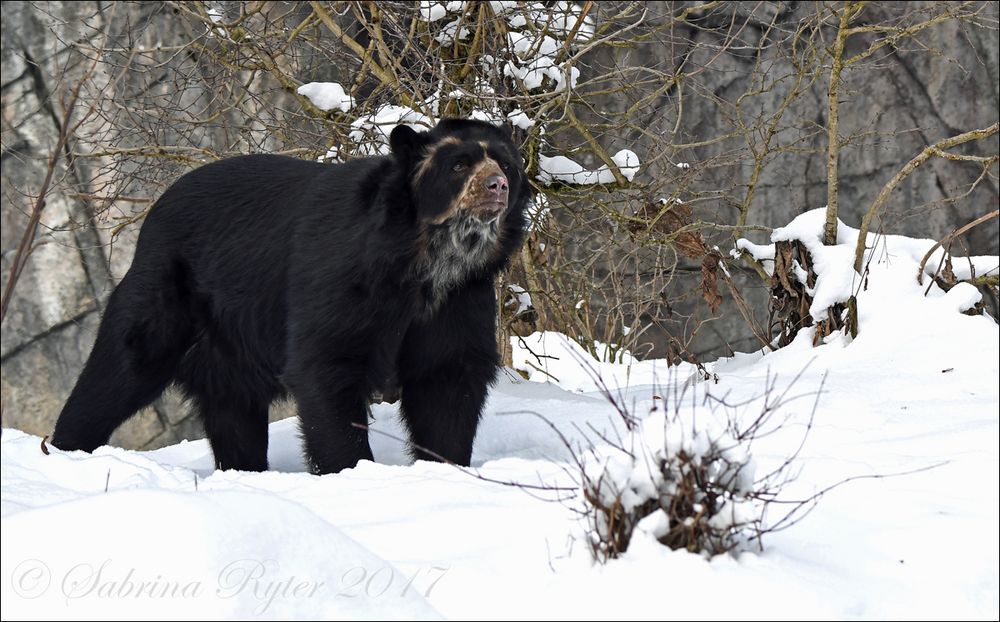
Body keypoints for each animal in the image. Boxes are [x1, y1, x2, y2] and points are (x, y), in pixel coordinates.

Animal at [50, 118, 532, 478]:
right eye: (459, 165)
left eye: (507, 164)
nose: (497, 186)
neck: (427, 259)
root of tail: (155, 211)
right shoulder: (342, 279)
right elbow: (325, 366)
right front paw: (351, 470)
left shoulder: (459, 299)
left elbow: (447, 378)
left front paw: (448, 467)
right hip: (167, 291)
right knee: (121, 367)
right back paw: (66, 449)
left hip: (226, 343)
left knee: (233, 411)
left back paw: (243, 471)